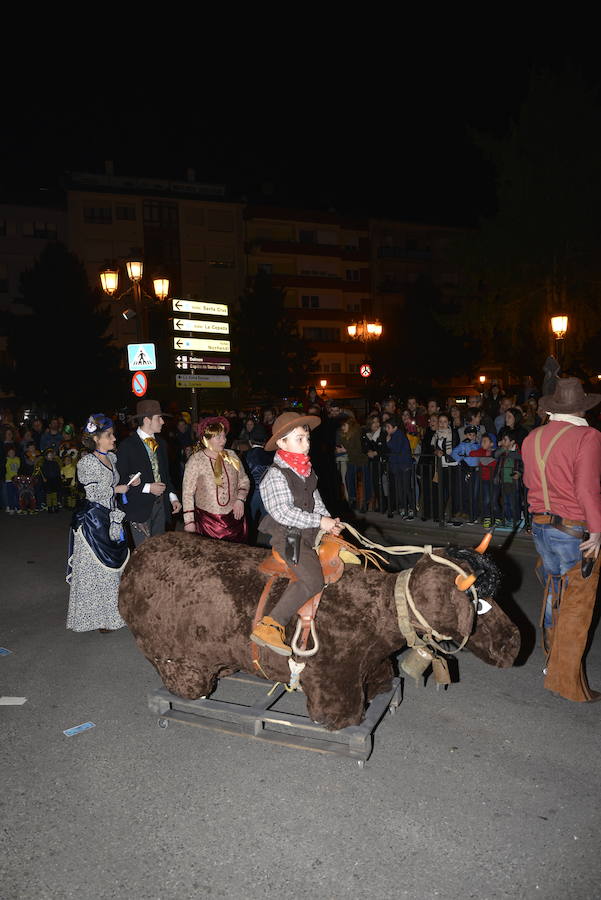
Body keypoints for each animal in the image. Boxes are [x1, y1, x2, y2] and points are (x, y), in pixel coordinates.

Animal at [118, 532, 520, 728]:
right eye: (479, 605)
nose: (515, 643)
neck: (381, 612)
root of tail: (138, 556)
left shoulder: (370, 665)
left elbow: (381, 681)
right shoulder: (332, 677)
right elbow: (340, 713)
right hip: (171, 651)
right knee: (180, 674)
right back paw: (190, 686)